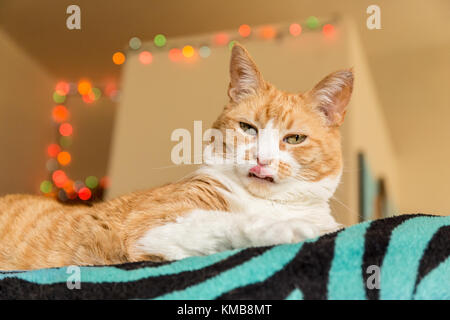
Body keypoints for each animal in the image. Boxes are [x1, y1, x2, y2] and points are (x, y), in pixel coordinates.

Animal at [0, 43, 354, 270]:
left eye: (294, 139)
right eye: (247, 128)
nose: (262, 159)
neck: (269, 203)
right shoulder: (151, 227)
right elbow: (233, 223)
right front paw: (292, 228)